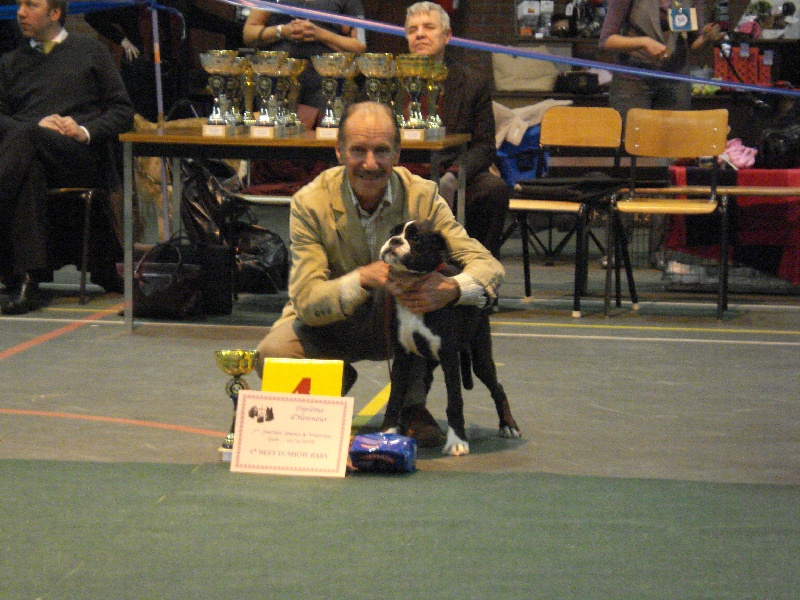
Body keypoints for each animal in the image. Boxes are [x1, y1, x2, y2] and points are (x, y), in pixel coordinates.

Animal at [380, 220, 520, 454]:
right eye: (392, 233)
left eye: (415, 238)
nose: (394, 241)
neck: (414, 281)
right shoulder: (402, 358)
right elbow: (394, 398)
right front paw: (387, 433)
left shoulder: (449, 358)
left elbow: (455, 401)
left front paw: (457, 441)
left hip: (481, 358)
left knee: (497, 388)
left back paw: (508, 425)